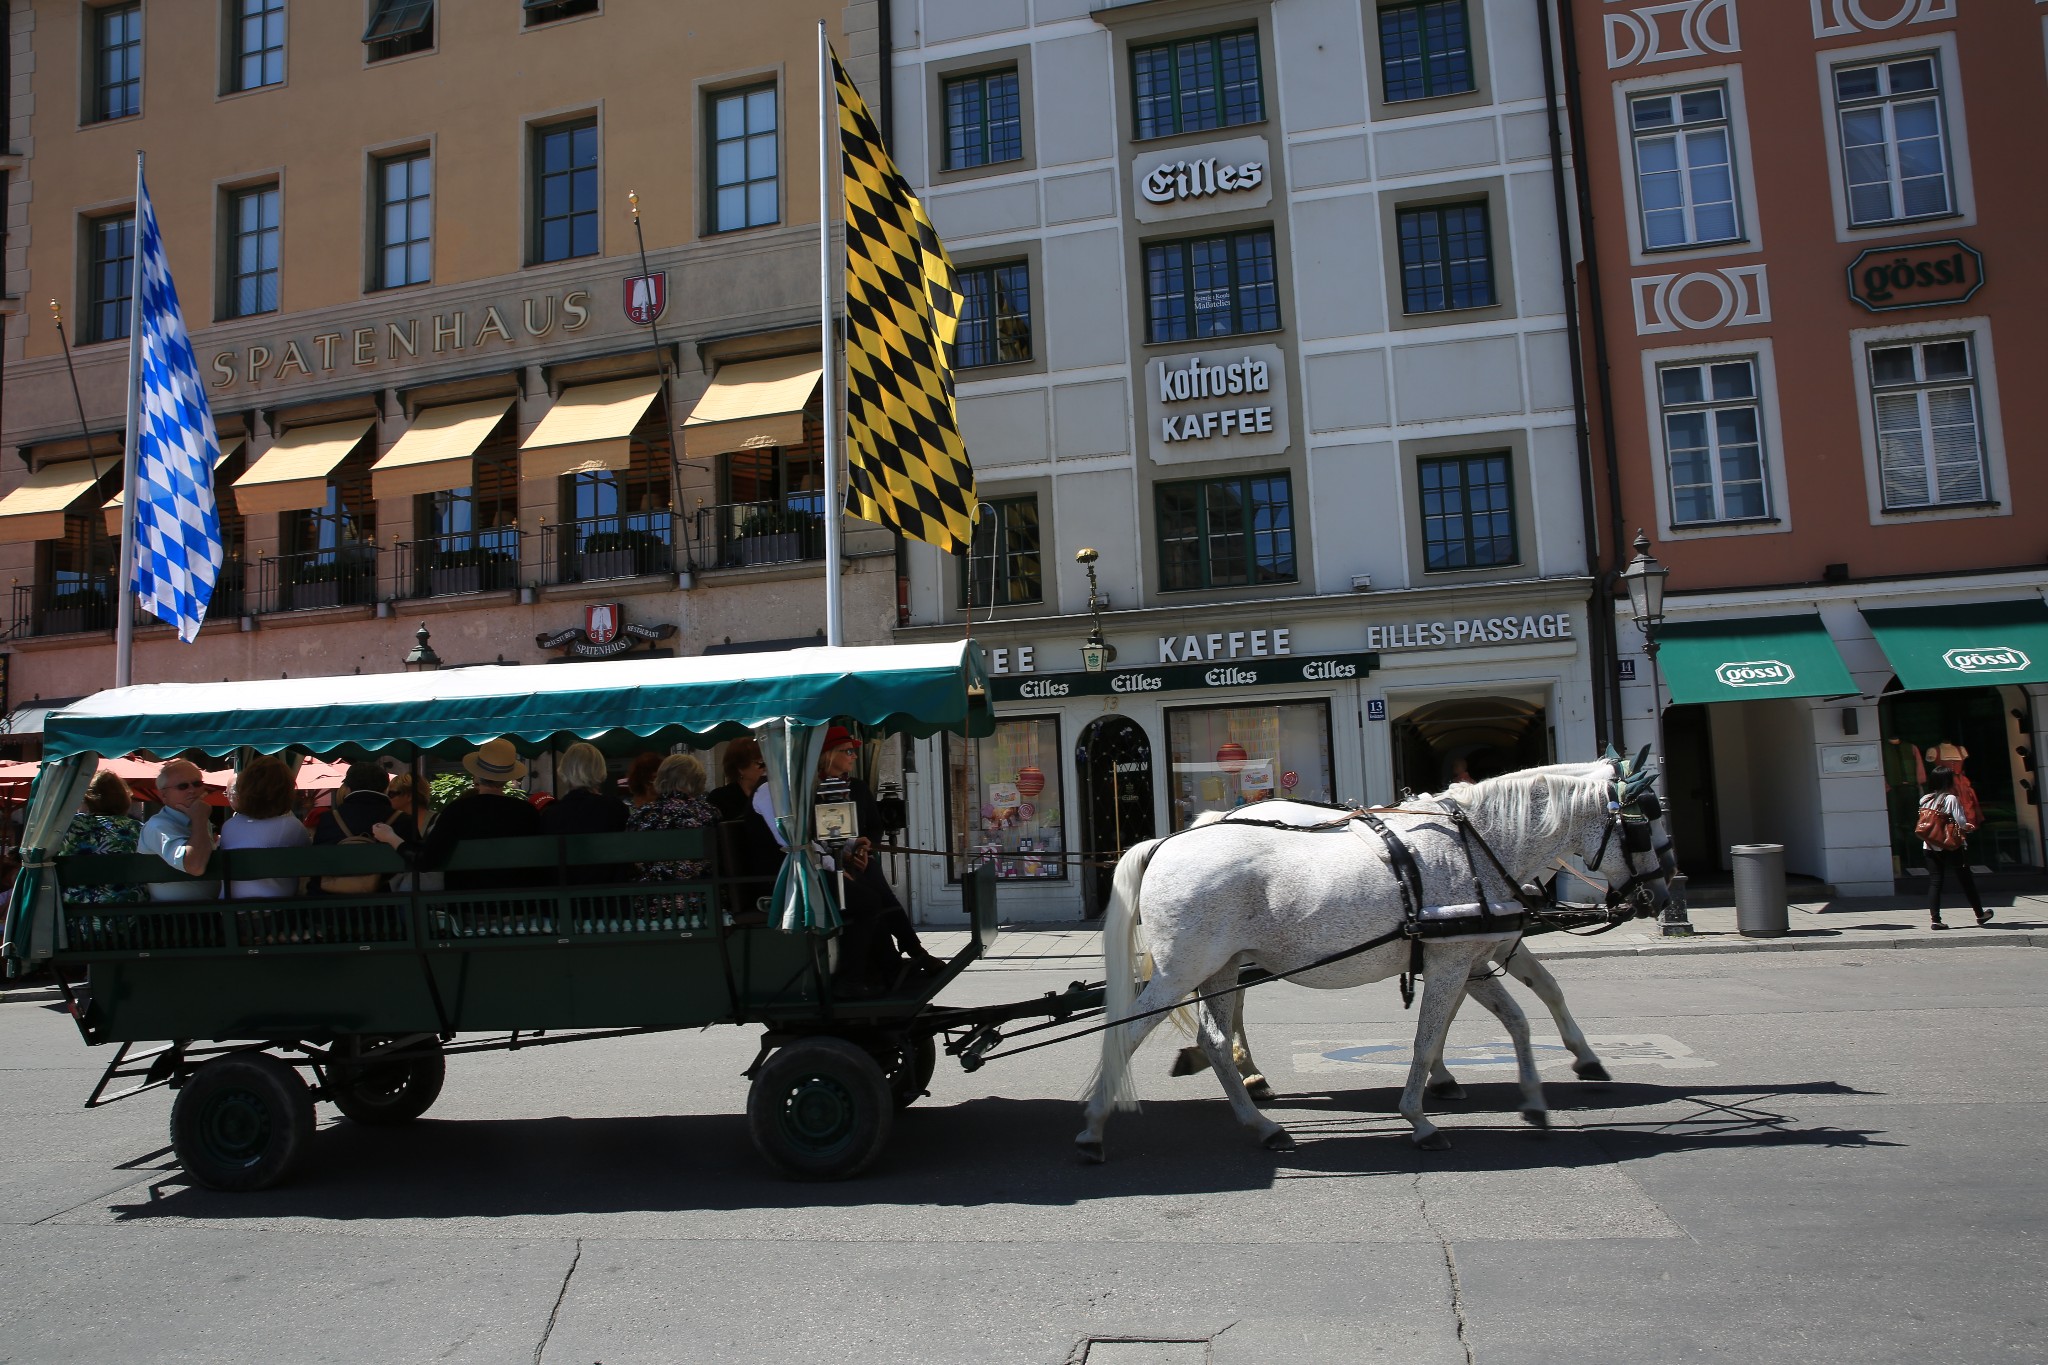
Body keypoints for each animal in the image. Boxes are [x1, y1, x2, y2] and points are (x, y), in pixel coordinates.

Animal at [1081, 765, 1671, 1162]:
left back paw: (1259, 1118)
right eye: (1642, 828)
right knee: (1127, 1034)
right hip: (1182, 970)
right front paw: (1421, 1116)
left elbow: (1518, 1018)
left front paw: (1534, 1097)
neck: (1476, 845)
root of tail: (1167, 842)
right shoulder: (1455, 960)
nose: (1660, 896)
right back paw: (1093, 1125)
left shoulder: (1471, 957)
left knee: (1216, 1039)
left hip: (1221, 967)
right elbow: (1431, 1036)